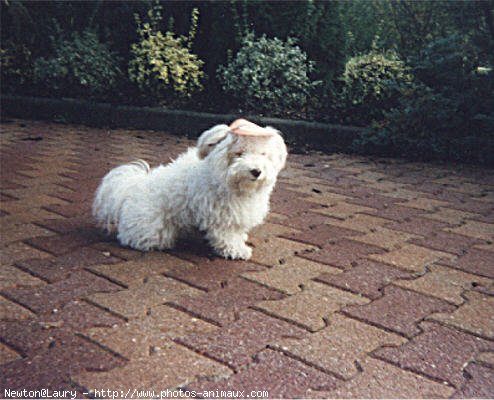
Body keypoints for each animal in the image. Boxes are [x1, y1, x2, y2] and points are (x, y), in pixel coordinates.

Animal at [91, 122, 288, 260]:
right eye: (239, 153)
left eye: (263, 154)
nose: (256, 171)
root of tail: (132, 187)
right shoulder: (221, 217)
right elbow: (227, 236)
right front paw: (237, 250)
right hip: (154, 228)